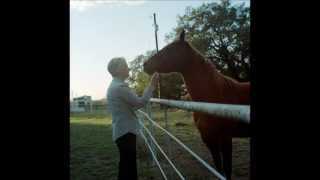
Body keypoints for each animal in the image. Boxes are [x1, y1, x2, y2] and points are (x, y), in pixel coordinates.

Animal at [144, 30, 251, 179]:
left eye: (169, 49)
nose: (145, 64)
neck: (214, 96)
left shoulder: (225, 140)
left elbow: (226, 172)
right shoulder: (210, 140)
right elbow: (219, 170)